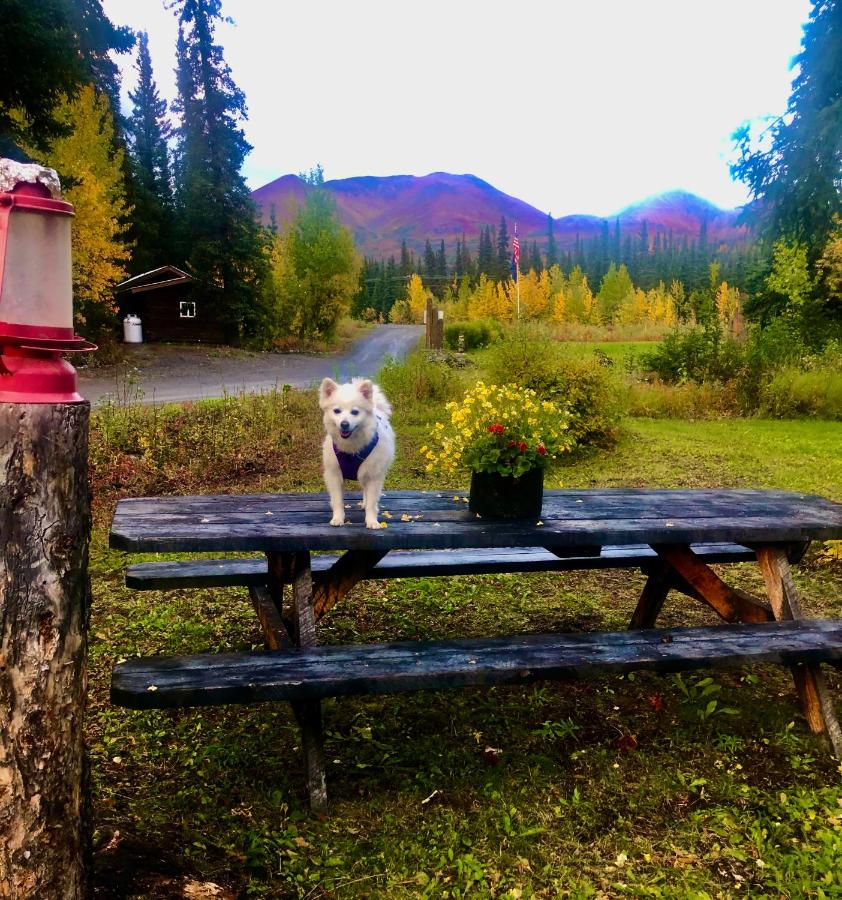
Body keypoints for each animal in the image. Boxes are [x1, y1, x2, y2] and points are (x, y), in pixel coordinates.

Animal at [318, 378, 394, 532]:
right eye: (337, 411)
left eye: (355, 412)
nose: (344, 424)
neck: (350, 449)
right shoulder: (334, 474)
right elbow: (337, 501)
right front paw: (338, 518)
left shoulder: (373, 475)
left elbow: (371, 502)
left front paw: (371, 521)